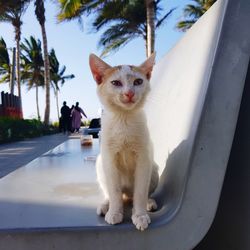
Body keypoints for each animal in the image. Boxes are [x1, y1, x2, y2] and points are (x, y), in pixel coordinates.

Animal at [89, 53, 158, 230]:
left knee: (139, 193)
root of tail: (127, 193)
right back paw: (106, 205)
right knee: (113, 192)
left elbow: (141, 190)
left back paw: (148, 202)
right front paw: (114, 212)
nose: (129, 93)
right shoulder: (109, 157)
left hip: (153, 167)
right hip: (100, 163)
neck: (124, 118)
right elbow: (114, 190)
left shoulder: (144, 157)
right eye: (116, 83)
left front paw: (139, 215)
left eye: (138, 82)